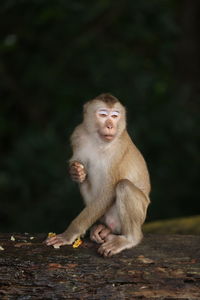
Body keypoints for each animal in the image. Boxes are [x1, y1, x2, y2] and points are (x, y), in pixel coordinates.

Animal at [46, 92, 151, 256]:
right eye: (102, 115)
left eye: (114, 116)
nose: (110, 126)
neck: (99, 140)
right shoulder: (78, 133)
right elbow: (79, 167)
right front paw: (76, 172)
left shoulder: (118, 148)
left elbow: (109, 191)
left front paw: (69, 234)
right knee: (85, 184)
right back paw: (102, 227)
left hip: (140, 213)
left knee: (124, 186)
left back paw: (129, 239)